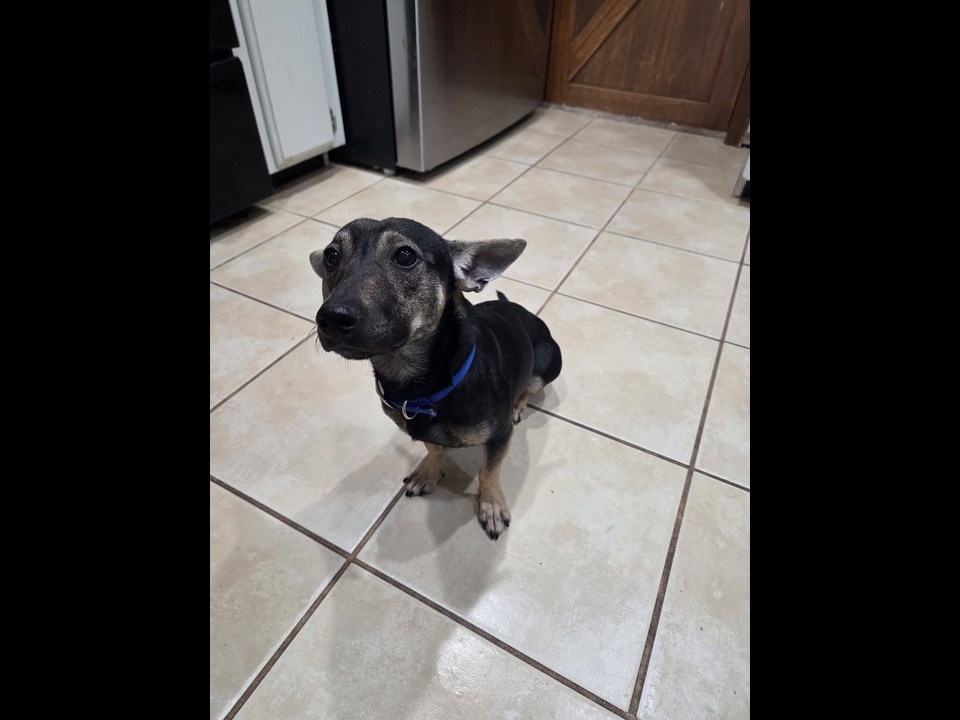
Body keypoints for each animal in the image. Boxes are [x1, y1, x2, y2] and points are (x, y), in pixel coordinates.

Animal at [309, 217, 562, 540]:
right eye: (331, 256)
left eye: (405, 256)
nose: (331, 317)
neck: (419, 387)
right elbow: (434, 447)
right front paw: (430, 471)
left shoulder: (500, 437)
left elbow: (488, 472)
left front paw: (491, 504)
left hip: (548, 363)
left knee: (529, 387)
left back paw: (518, 405)